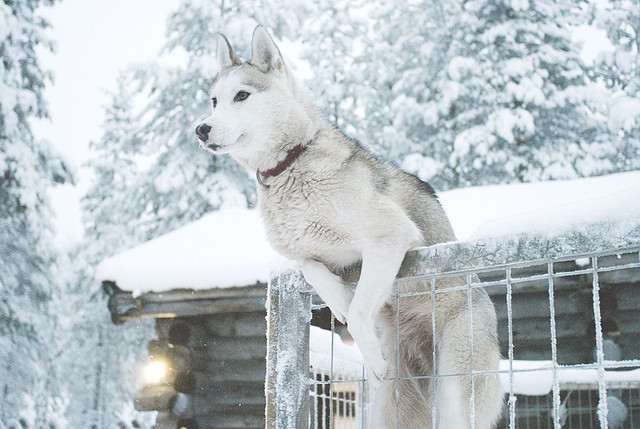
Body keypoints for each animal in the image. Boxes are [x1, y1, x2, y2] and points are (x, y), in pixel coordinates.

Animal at [195, 26, 504, 428]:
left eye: (242, 96)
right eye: (214, 101)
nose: (201, 128)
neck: (291, 164)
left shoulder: (392, 235)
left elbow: (359, 313)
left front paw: (368, 349)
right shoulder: (314, 255)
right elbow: (312, 270)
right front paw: (339, 299)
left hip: (455, 387)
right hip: (389, 410)